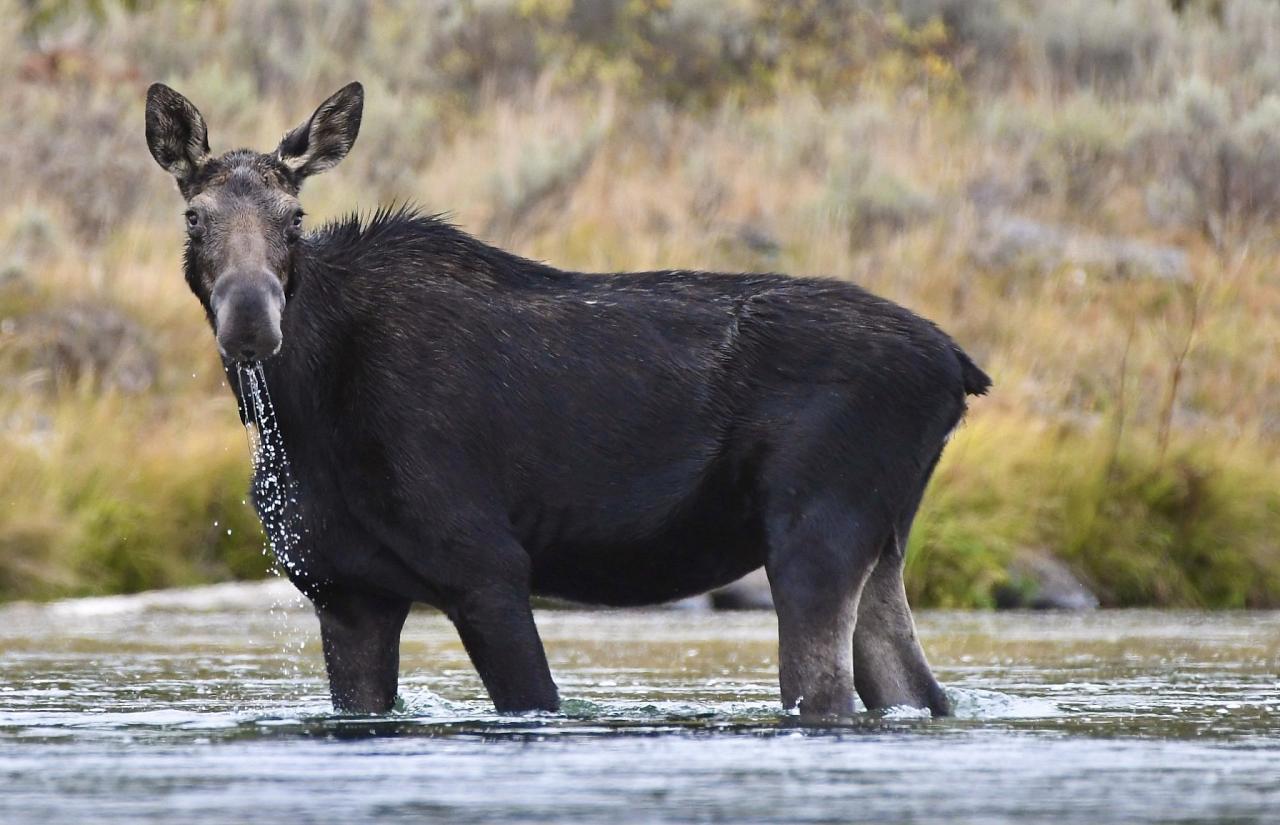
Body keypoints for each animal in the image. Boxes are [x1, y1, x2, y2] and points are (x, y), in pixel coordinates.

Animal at [147, 80, 988, 716]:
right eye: (193, 214)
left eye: (295, 216)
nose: (251, 319)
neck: (303, 410)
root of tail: (960, 368)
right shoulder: (347, 591)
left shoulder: (485, 562)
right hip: (882, 538)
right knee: (917, 692)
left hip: (815, 530)